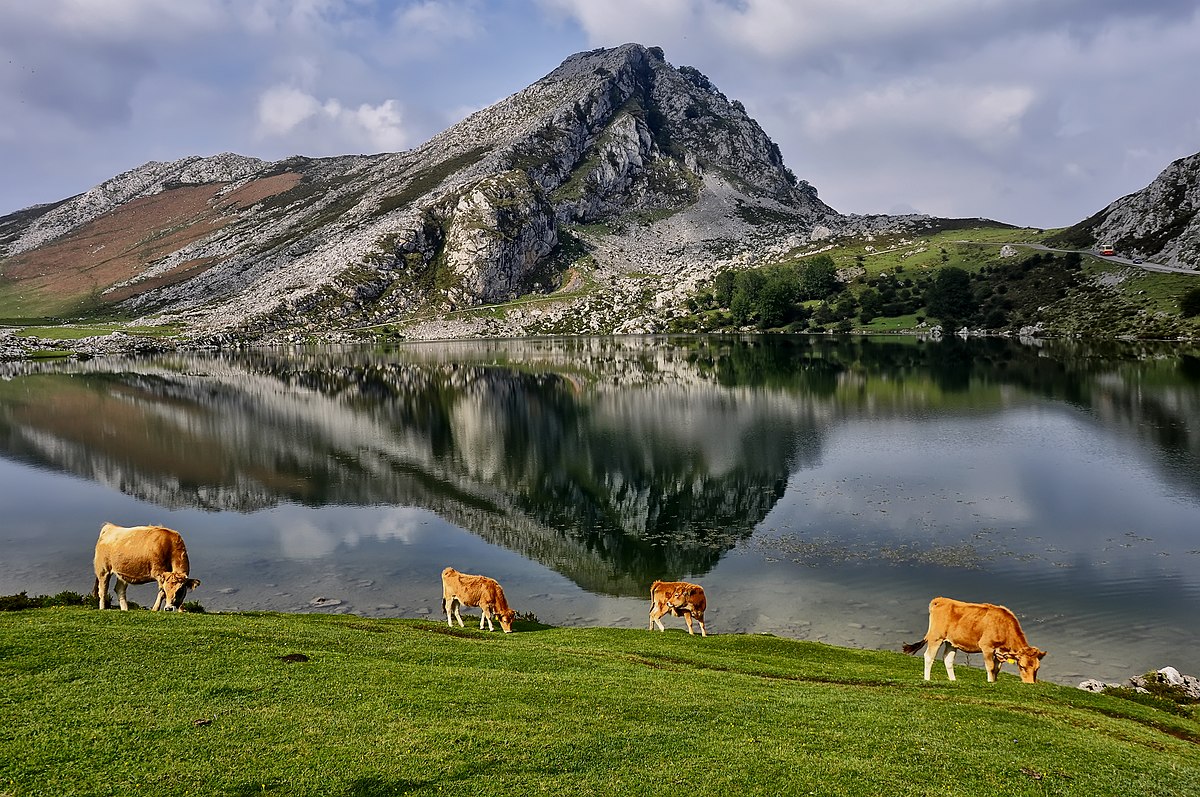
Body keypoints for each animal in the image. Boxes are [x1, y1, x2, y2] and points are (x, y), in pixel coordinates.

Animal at [902, 595, 1046, 681]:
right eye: (1021, 666)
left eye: (1037, 668)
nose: (1030, 684)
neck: (1004, 626)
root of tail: (940, 600)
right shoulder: (987, 647)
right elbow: (990, 667)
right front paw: (990, 682)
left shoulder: (999, 653)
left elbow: (997, 669)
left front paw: (994, 681)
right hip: (936, 637)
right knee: (929, 657)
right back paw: (927, 679)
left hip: (951, 642)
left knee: (948, 659)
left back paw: (953, 680)